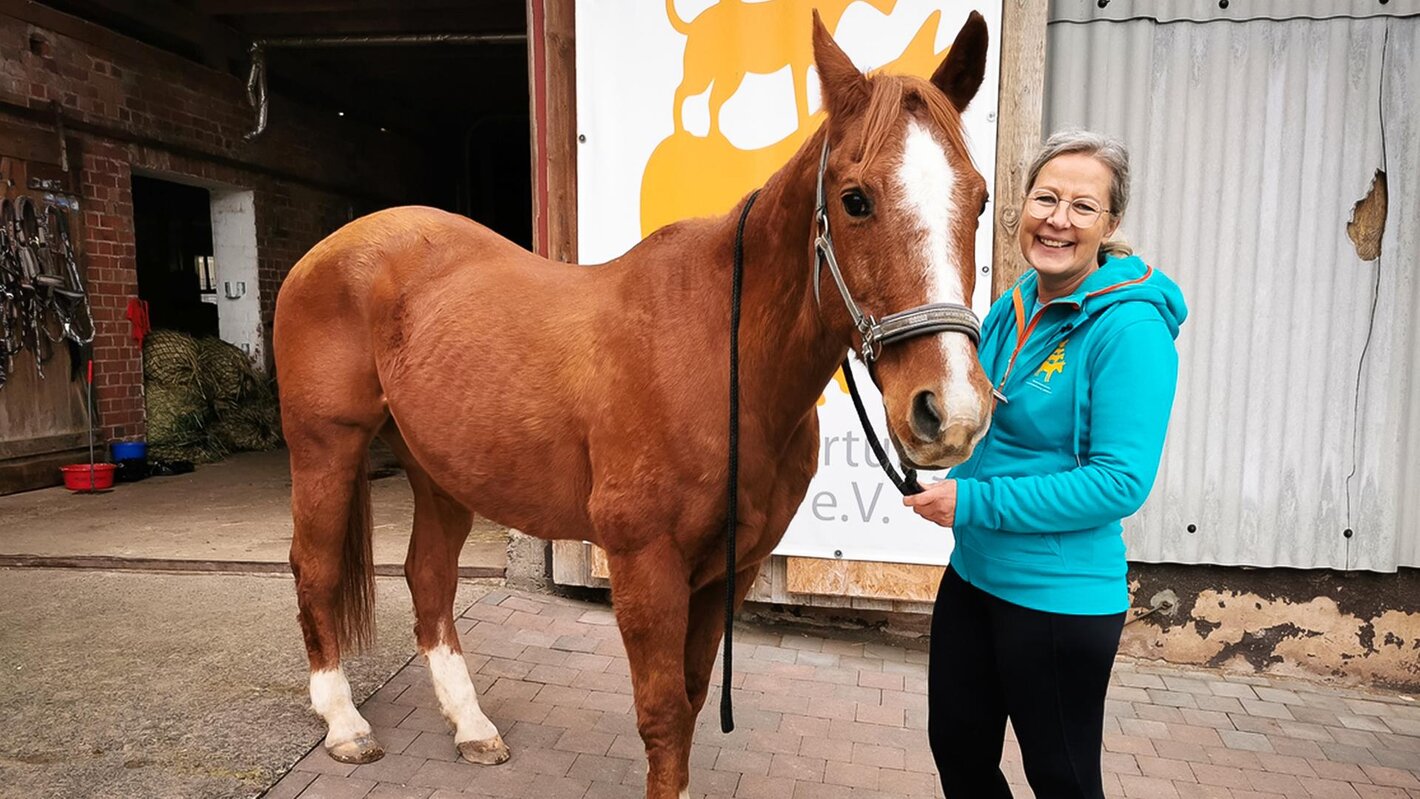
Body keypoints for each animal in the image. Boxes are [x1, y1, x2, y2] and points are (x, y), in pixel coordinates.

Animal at [274, 12, 988, 799]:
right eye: (856, 199)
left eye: (980, 200)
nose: (949, 410)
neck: (718, 358)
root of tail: (332, 250)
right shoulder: (645, 562)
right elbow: (664, 715)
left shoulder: (733, 566)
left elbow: (694, 695)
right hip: (326, 447)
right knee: (314, 568)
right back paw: (345, 724)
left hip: (438, 469)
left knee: (428, 579)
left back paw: (471, 727)